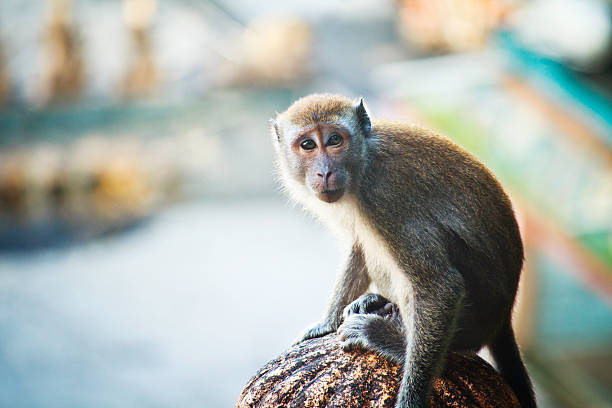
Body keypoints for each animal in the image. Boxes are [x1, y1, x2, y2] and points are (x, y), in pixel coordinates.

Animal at [268, 93, 536, 408]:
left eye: (334, 140)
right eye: (308, 145)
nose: (325, 171)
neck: (364, 163)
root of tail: (504, 316)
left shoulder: (386, 198)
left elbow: (439, 287)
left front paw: (412, 397)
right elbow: (358, 245)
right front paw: (326, 323)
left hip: (476, 315)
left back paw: (388, 339)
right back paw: (376, 302)